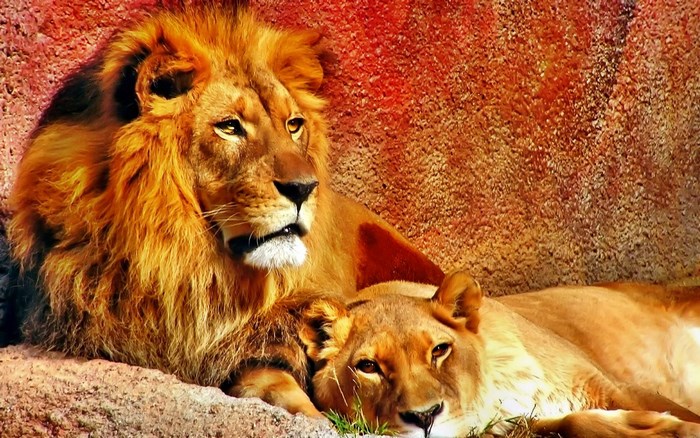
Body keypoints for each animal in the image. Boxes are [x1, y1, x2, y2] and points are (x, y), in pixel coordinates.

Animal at [302, 271, 700, 436]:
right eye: (368, 367)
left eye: (440, 350)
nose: (425, 417)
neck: (499, 386)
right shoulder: (518, 423)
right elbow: (573, 423)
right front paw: (652, 427)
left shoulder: (612, 386)